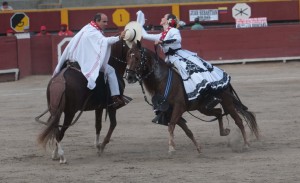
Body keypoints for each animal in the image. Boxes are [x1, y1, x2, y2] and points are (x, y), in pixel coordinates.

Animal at [125, 41, 258, 154]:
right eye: (127, 57)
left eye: (137, 58)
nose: (129, 77)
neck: (163, 80)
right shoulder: (169, 111)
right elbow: (186, 130)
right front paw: (198, 148)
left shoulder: (178, 107)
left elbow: (171, 126)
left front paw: (171, 148)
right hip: (203, 108)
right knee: (219, 112)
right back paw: (224, 132)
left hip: (227, 102)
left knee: (238, 120)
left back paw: (246, 144)